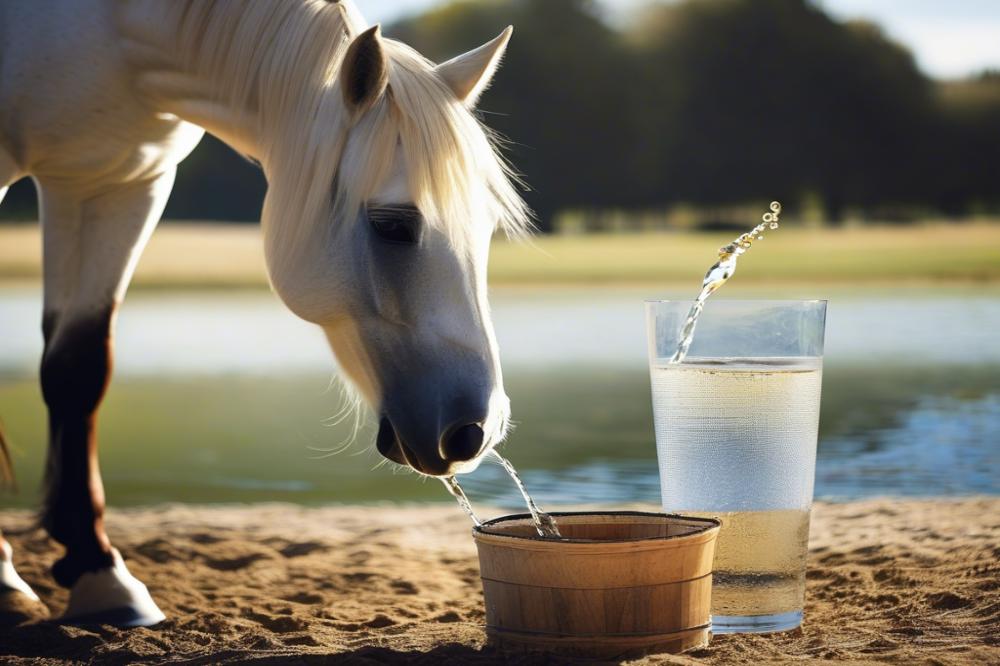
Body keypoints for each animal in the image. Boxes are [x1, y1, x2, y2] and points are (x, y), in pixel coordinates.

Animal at [0, 0, 532, 624]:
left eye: (487, 226)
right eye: (391, 225)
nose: (476, 429)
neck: (112, 26)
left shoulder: (114, 183)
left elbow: (78, 370)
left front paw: (100, 576)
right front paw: (11, 577)